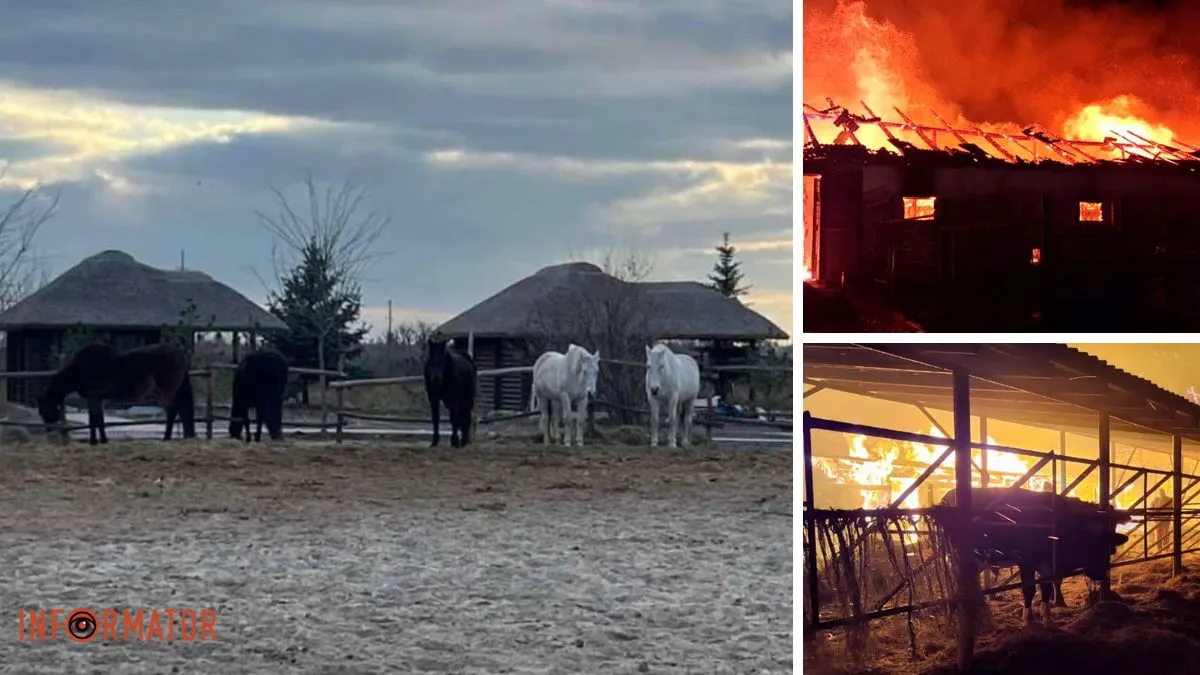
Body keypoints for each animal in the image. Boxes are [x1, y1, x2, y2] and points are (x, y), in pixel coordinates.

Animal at [36, 338, 195, 444]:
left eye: (44, 409)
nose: (48, 431)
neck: (81, 368)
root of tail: (181, 352)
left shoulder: (93, 397)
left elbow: (94, 419)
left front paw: (95, 441)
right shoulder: (97, 398)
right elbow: (97, 419)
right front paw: (102, 440)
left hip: (166, 391)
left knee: (172, 411)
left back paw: (166, 437)